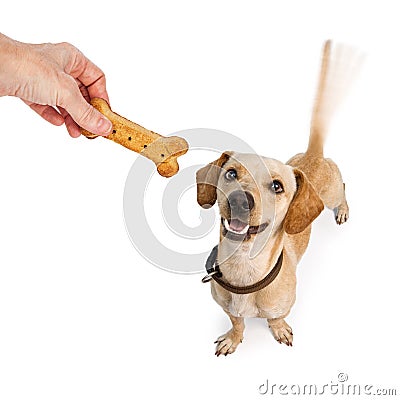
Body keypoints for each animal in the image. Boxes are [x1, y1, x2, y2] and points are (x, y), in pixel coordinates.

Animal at [197, 41, 360, 356]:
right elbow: (238, 323)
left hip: (333, 192)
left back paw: (343, 210)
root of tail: (313, 154)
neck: (244, 269)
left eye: (277, 186)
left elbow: (276, 318)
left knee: (344, 189)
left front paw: (279, 329)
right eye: (231, 173)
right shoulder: (229, 309)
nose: (240, 201)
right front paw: (233, 337)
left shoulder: (282, 308)